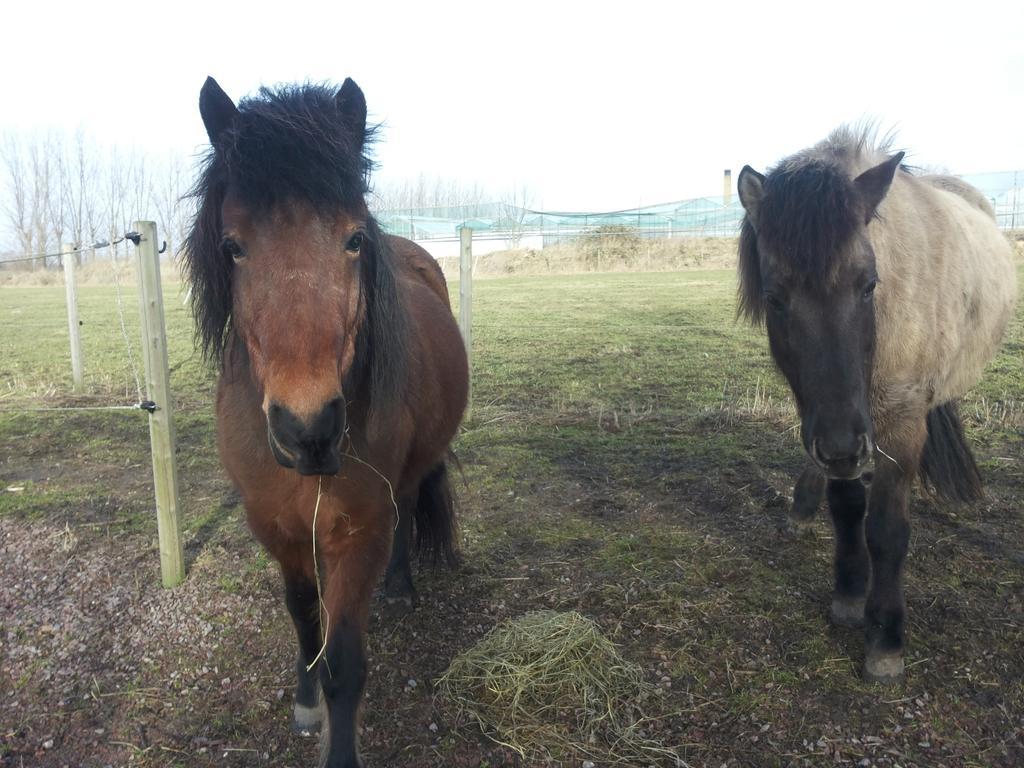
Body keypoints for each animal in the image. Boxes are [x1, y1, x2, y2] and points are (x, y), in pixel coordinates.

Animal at [183, 75, 468, 765]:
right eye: (233, 247)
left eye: (353, 239)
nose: (306, 429)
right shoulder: (274, 527)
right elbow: (302, 615)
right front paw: (306, 699)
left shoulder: (360, 531)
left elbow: (344, 662)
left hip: (402, 486)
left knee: (410, 501)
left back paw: (401, 587)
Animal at [737, 128, 1015, 684]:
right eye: (775, 298)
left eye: (868, 285)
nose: (844, 448)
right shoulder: (832, 427)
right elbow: (847, 509)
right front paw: (848, 595)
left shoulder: (897, 426)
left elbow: (886, 530)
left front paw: (885, 636)